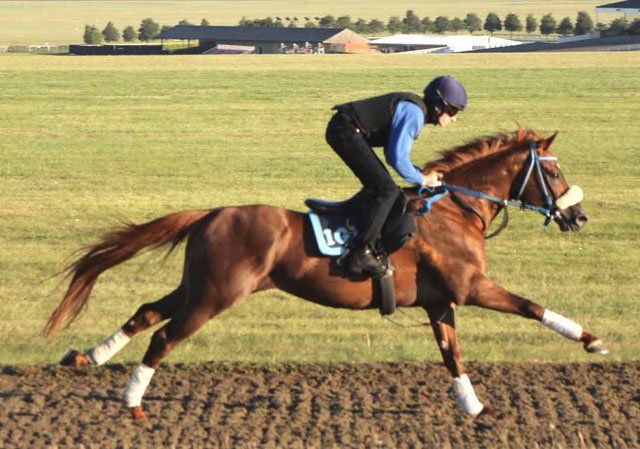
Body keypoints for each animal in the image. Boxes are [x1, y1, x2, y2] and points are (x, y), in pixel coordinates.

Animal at [45, 129, 608, 420]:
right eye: (553, 171)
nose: (579, 218)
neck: (455, 210)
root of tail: (210, 213)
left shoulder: (439, 302)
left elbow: (453, 356)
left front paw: (476, 410)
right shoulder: (471, 289)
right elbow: (532, 307)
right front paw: (592, 340)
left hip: (198, 285)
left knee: (145, 313)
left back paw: (90, 357)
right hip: (216, 295)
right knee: (164, 336)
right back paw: (133, 402)